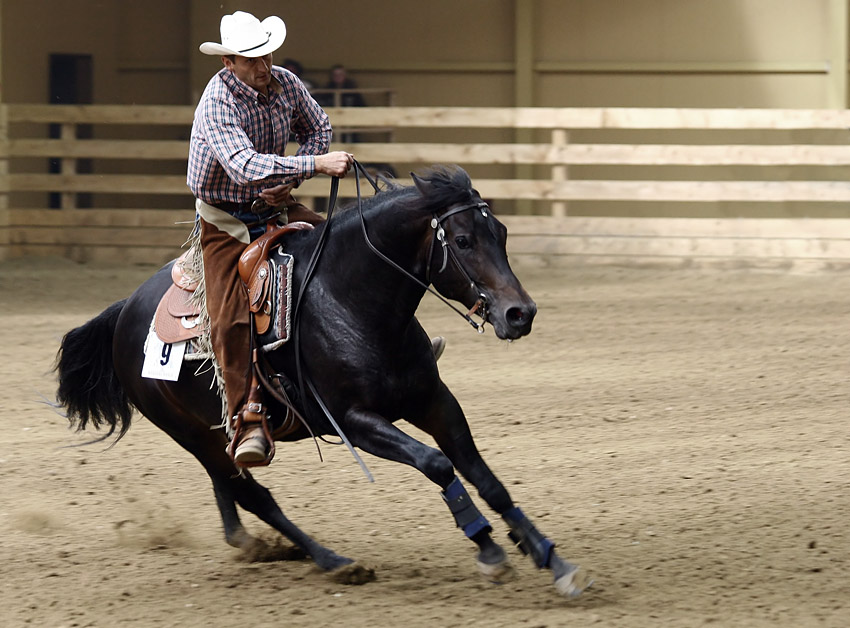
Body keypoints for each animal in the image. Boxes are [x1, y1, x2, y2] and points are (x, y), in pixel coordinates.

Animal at [54, 166, 588, 600]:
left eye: (501, 232)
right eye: (461, 241)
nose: (520, 314)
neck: (350, 300)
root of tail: (123, 310)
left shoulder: (434, 401)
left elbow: (485, 477)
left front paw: (551, 559)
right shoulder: (354, 421)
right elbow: (437, 464)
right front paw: (489, 550)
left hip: (212, 432)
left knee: (229, 486)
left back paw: (251, 545)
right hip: (187, 433)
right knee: (253, 494)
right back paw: (333, 561)